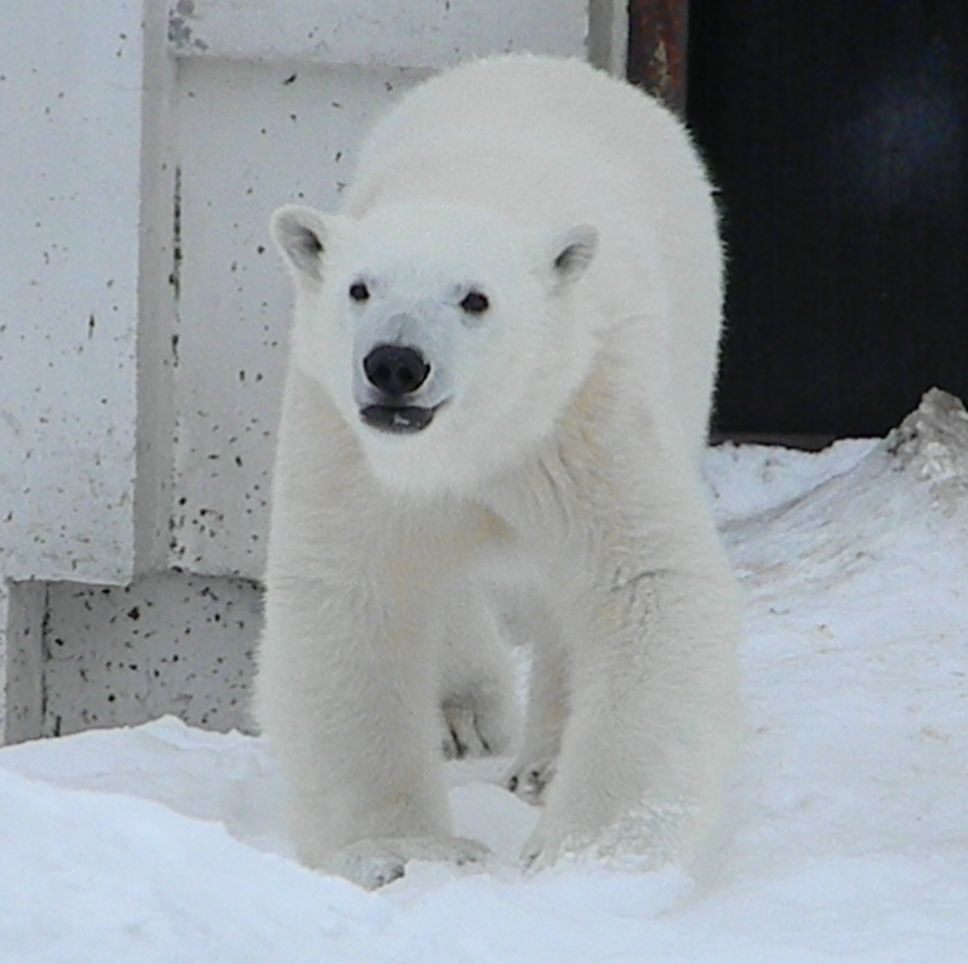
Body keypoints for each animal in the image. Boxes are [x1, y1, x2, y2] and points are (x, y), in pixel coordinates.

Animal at [258, 54, 740, 888]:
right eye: (360, 287)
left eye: (475, 299)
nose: (395, 364)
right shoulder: (349, 442)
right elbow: (352, 591)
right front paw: (401, 851)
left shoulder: (583, 410)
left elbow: (643, 581)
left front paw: (590, 851)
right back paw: (464, 718)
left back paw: (542, 762)